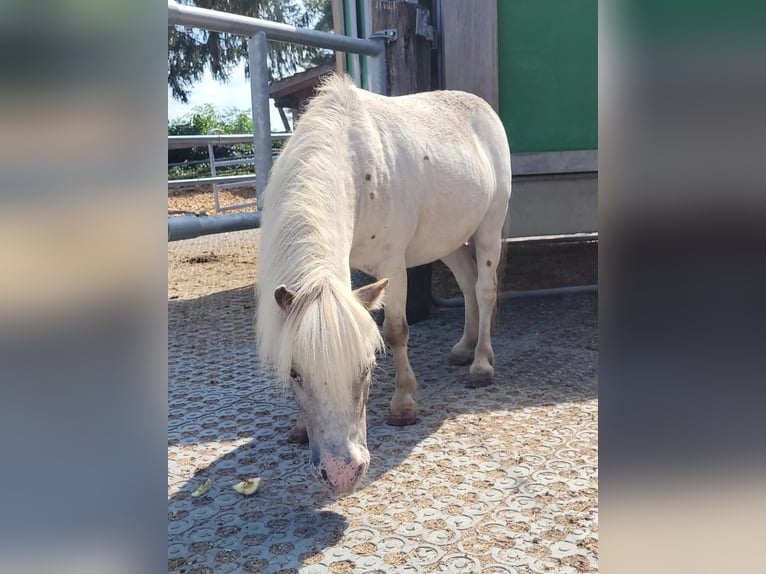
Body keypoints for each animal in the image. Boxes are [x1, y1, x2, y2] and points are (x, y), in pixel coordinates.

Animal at [256, 74, 511, 495]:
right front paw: (300, 426)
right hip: (448, 240)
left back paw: (480, 364)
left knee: (484, 290)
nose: (342, 472)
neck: (354, 166)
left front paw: (404, 404)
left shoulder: (393, 264)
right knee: (466, 282)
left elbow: (395, 330)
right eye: (294, 373)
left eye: (367, 369)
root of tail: (483, 108)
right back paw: (464, 348)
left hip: (489, 228)